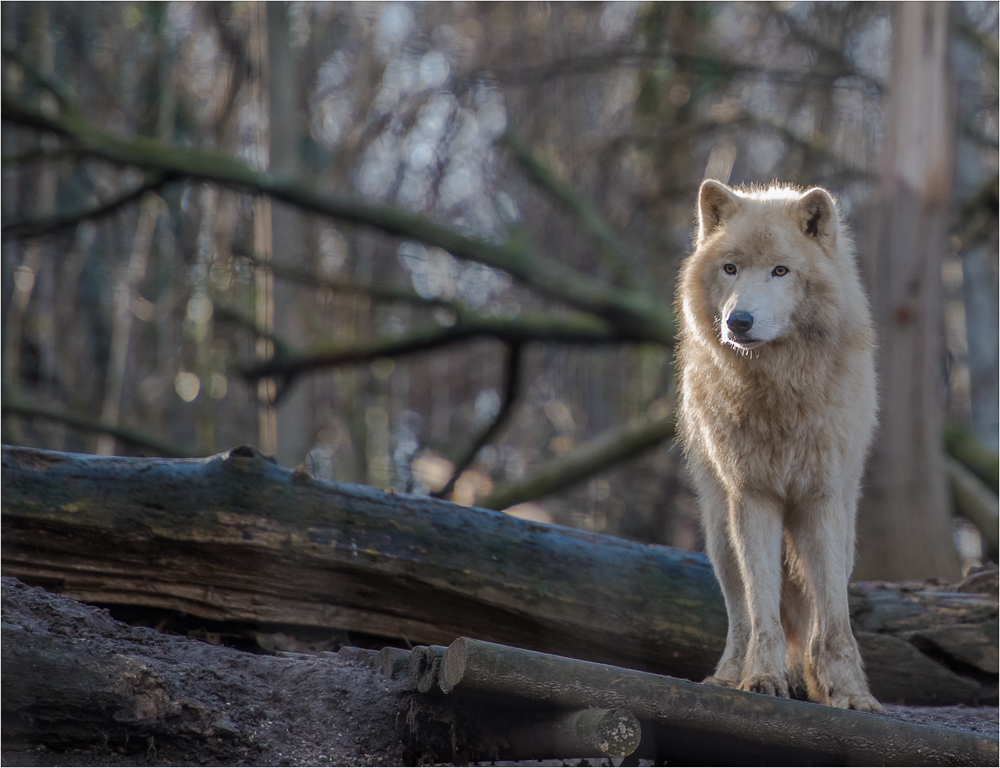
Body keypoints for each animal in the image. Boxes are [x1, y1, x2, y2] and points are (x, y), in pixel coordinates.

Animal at [676, 177, 880, 712]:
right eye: (730, 268)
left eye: (780, 271)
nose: (738, 322)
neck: (782, 391)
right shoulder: (754, 497)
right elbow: (762, 609)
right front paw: (762, 680)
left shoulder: (822, 500)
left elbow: (834, 619)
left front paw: (850, 694)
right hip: (720, 529)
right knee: (741, 614)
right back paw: (731, 676)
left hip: (842, 526)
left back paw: (814, 683)